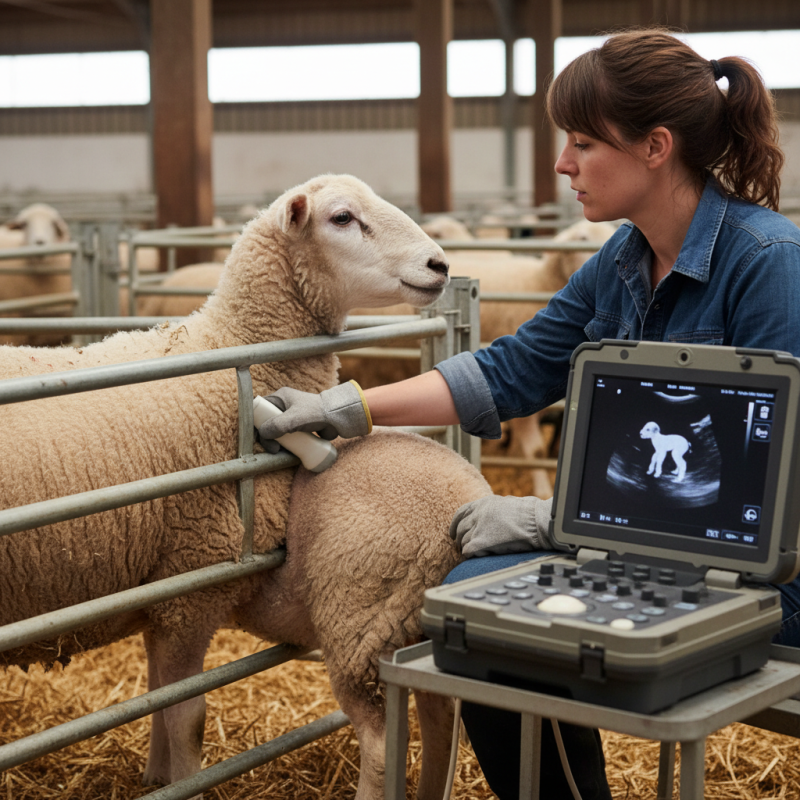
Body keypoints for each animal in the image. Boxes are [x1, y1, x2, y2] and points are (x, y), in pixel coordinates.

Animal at [0, 174, 460, 798]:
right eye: (342, 218)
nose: (440, 265)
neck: (230, 345)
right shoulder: (191, 581)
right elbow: (182, 714)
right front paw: (172, 780)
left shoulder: (171, 586)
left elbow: (163, 701)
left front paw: (157, 777)